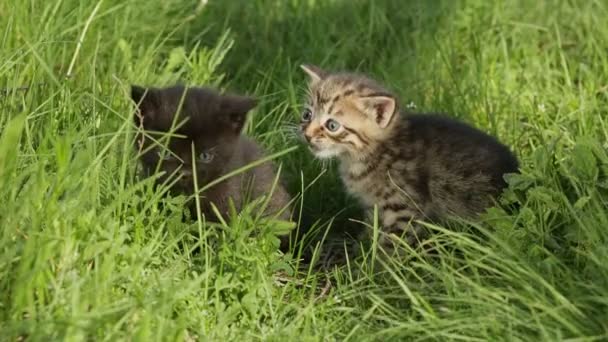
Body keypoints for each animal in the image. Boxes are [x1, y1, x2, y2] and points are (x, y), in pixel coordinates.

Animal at [300, 64, 516, 251]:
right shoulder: (373, 206)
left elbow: (391, 245)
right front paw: (360, 250)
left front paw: (377, 269)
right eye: (306, 115)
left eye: (332, 125)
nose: (307, 135)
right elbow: (370, 230)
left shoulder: (404, 208)